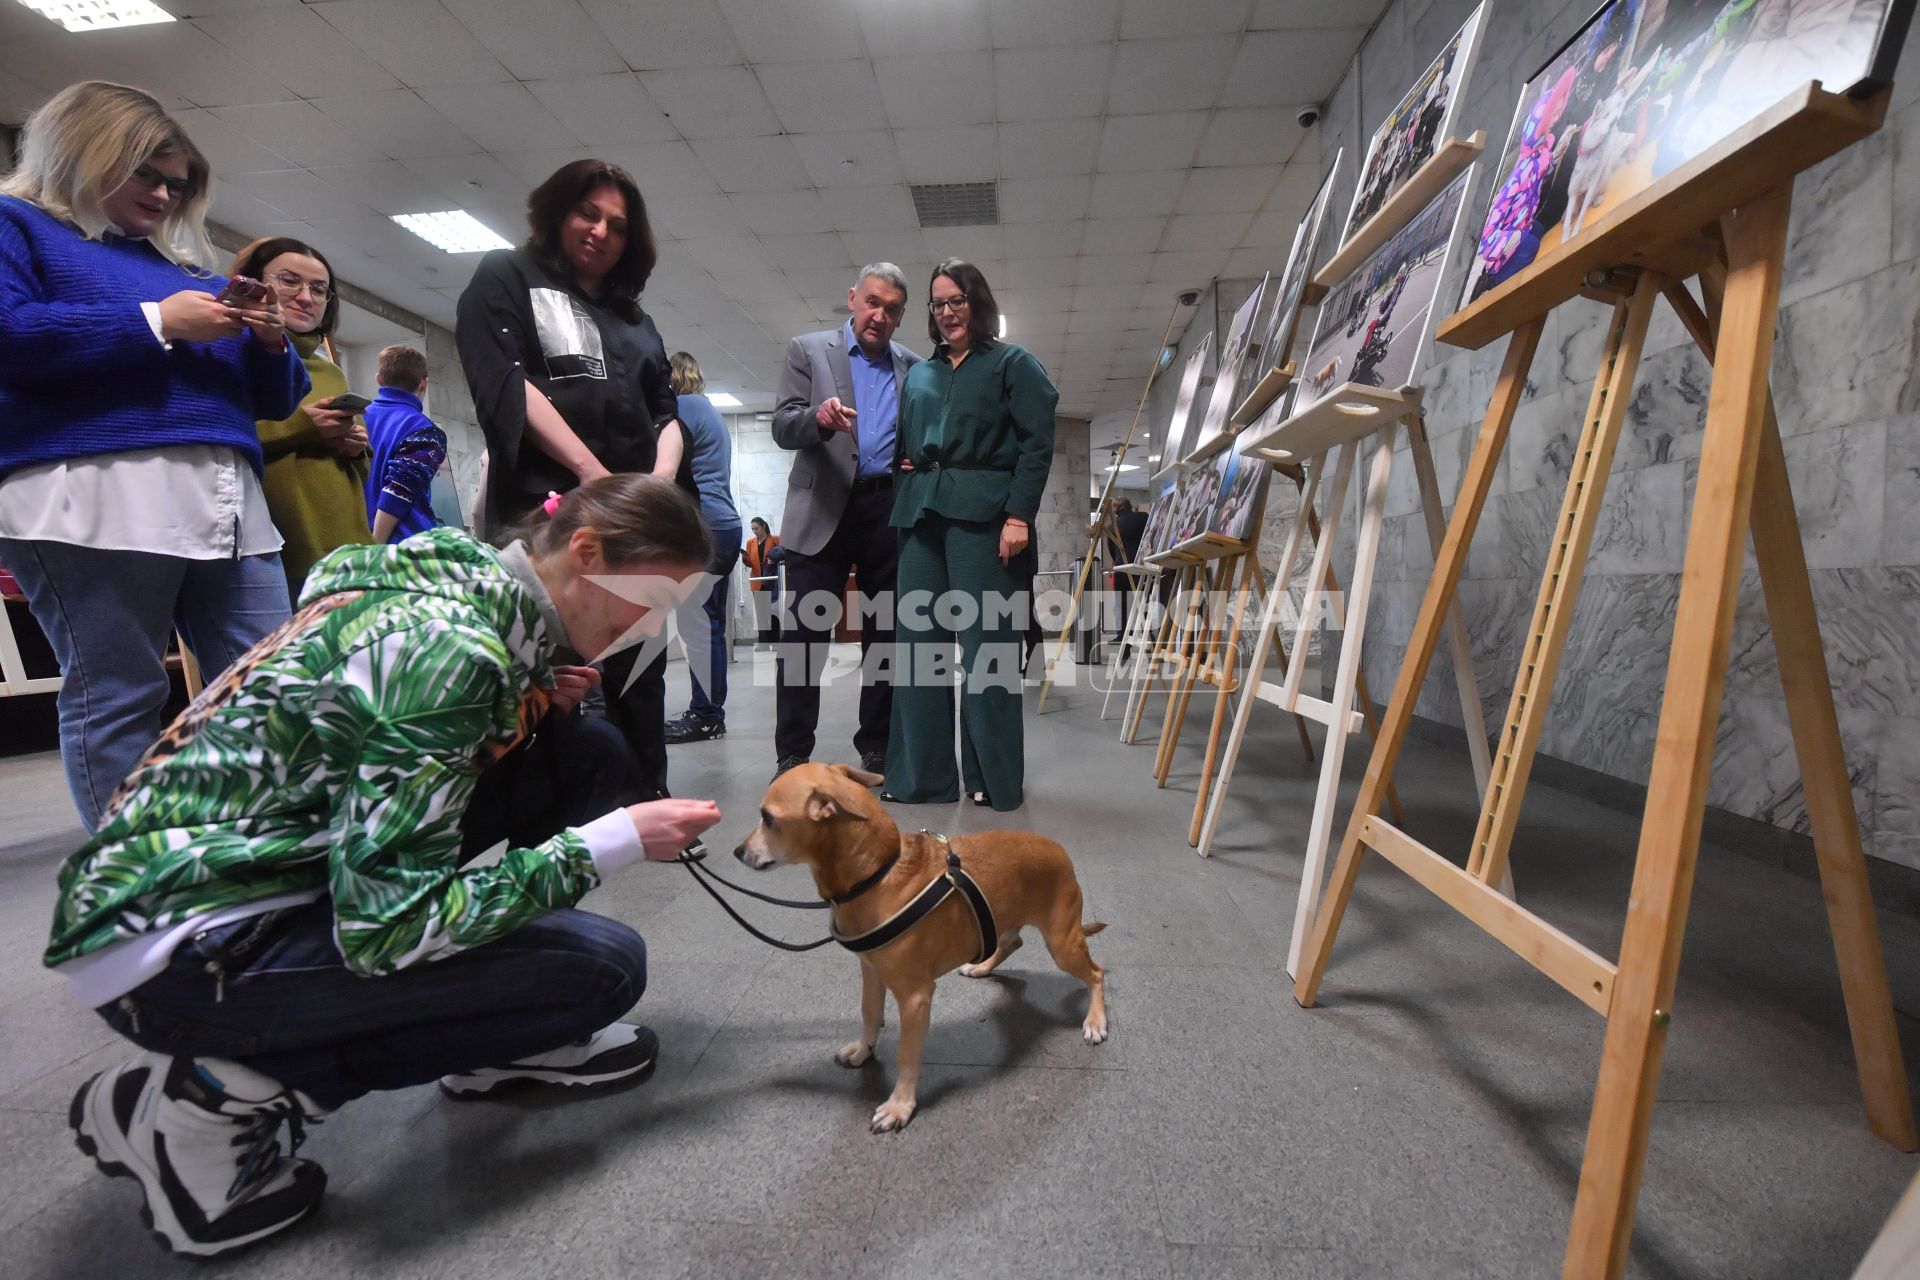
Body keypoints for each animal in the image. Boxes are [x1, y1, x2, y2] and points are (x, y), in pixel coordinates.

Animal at [741, 759, 1121, 1128]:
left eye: (767, 818)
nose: (737, 851)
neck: (879, 874)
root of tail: (1061, 851)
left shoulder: (915, 998)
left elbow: (907, 1057)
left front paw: (900, 1106)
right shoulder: (871, 972)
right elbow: (869, 1014)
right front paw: (863, 1051)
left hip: (1062, 944)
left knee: (1096, 973)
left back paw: (1095, 1021)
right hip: (1008, 920)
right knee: (1013, 942)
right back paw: (983, 966)